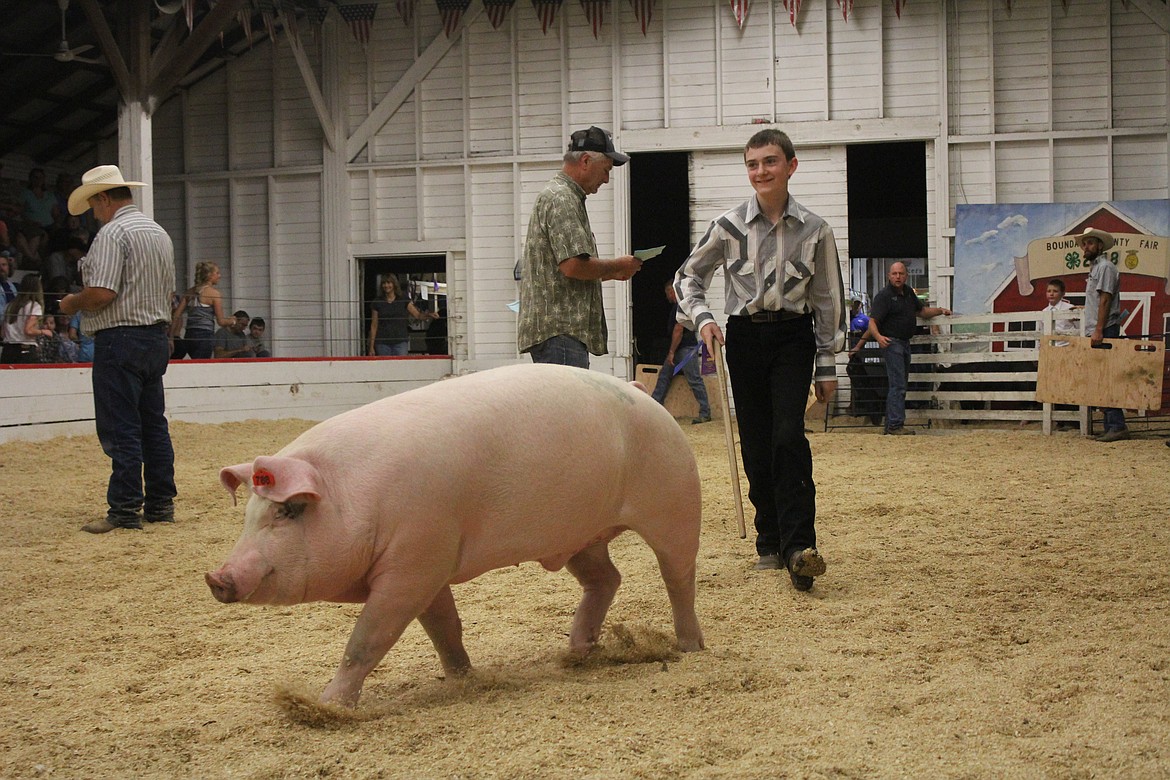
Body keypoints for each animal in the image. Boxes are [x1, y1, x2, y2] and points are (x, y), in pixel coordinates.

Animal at [207, 362, 702, 706]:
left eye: (289, 510)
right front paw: (464, 679)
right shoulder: (430, 562)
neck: (354, 493)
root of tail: (638, 391)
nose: (217, 577)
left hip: (675, 502)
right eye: (249, 514)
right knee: (607, 578)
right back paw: (577, 653)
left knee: (678, 577)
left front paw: (327, 706)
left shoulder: (413, 563)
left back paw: (690, 648)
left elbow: (368, 638)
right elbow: (445, 627)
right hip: (581, 535)